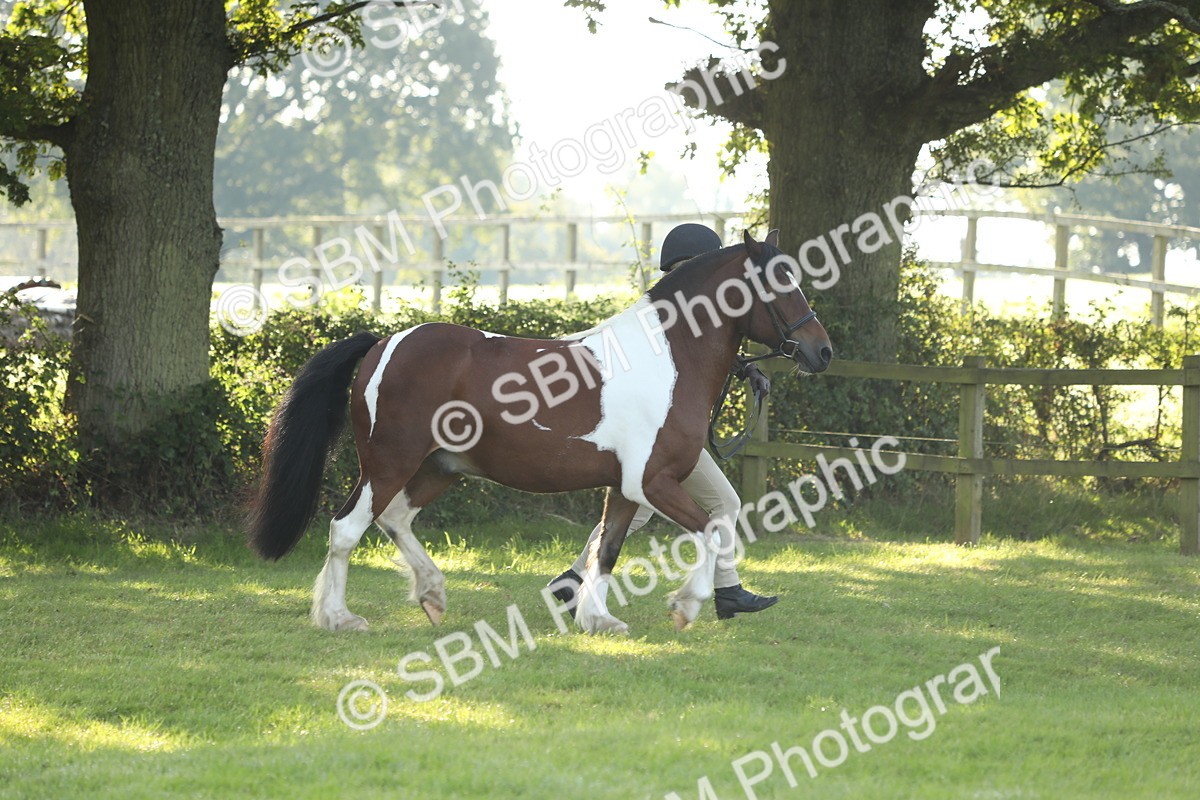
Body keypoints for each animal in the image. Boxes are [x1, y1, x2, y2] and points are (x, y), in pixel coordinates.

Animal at [247, 230, 832, 634]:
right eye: (780, 282)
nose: (822, 351)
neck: (669, 358)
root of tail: (382, 343)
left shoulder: (626, 488)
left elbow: (607, 551)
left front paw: (597, 620)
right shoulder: (652, 483)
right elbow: (710, 530)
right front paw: (685, 607)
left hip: (440, 467)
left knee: (394, 520)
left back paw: (432, 594)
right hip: (389, 464)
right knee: (346, 529)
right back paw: (339, 618)